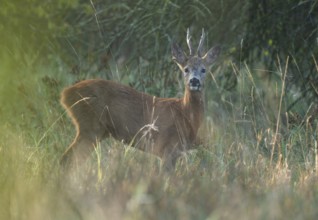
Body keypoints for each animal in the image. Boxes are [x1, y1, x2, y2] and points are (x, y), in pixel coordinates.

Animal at [60, 28, 219, 168]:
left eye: (204, 69)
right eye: (186, 69)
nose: (194, 81)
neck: (184, 113)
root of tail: (65, 94)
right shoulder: (167, 148)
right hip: (90, 127)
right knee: (67, 159)